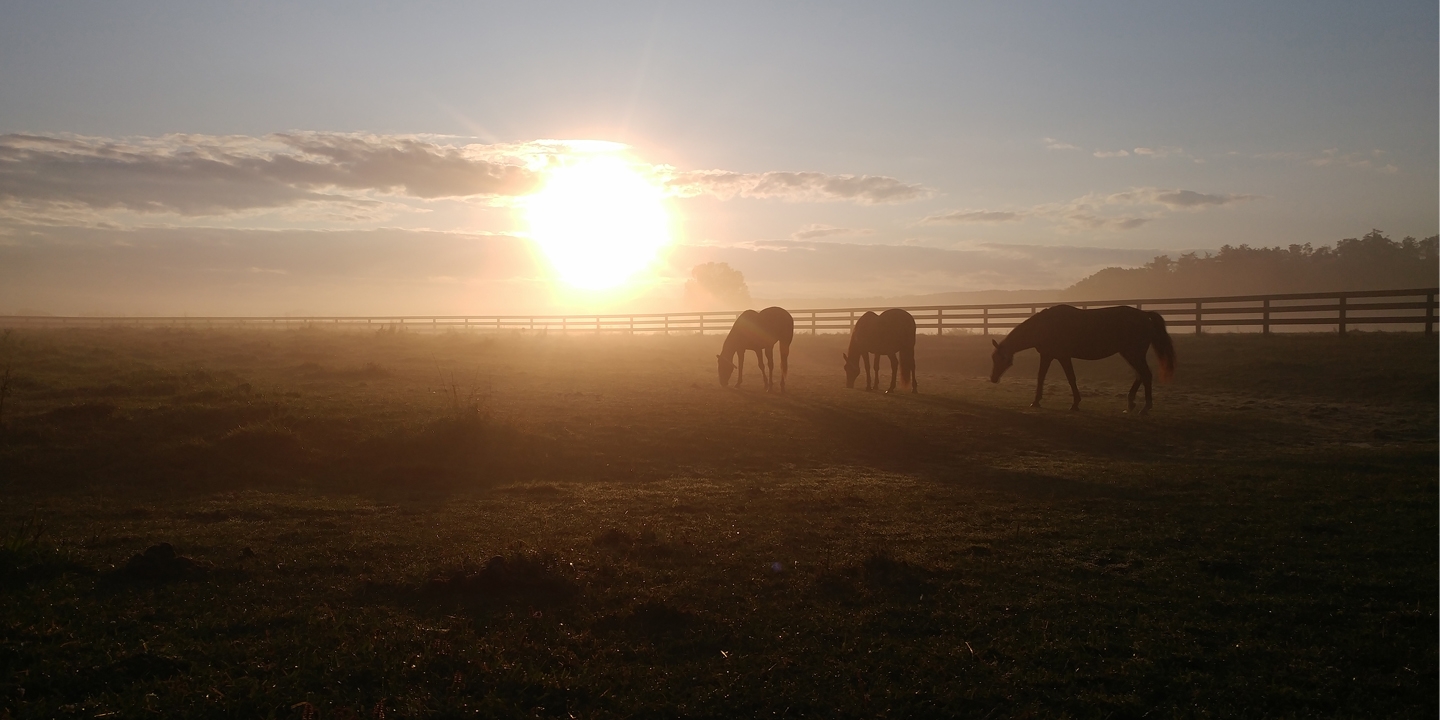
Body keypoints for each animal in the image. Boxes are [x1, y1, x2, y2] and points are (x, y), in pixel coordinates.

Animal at [989, 304, 1175, 413]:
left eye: (1000, 360)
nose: (993, 379)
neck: (1045, 325)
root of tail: (1145, 315)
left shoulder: (1063, 357)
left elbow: (1071, 378)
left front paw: (1075, 403)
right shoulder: (1048, 356)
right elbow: (1041, 377)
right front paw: (1036, 401)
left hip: (1133, 353)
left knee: (1145, 375)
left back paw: (1145, 407)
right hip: (1129, 354)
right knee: (1139, 375)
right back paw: (1130, 404)